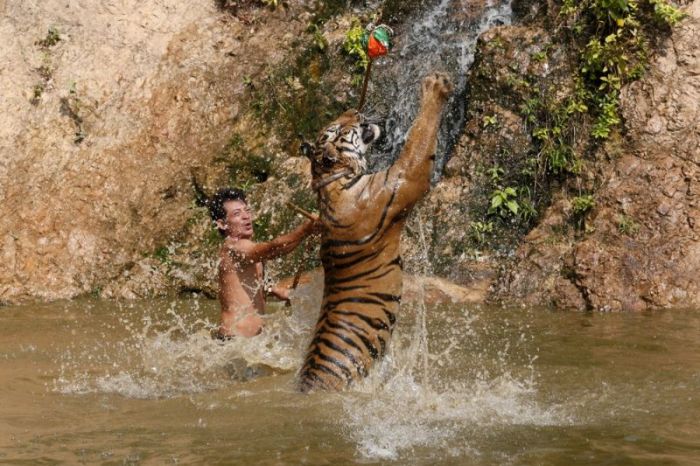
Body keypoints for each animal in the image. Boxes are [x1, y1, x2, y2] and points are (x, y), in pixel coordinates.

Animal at [300, 73, 454, 394]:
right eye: (340, 128)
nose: (353, 109)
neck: (331, 181)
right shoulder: (404, 178)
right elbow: (419, 140)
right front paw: (434, 87)